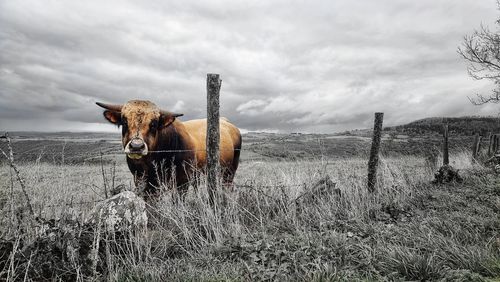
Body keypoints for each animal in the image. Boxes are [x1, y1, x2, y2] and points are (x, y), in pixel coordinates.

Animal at [96, 100, 242, 197]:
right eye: (124, 122)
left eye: (154, 124)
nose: (136, 146)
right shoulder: (142, 181)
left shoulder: (182, 183)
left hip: (230, 171)